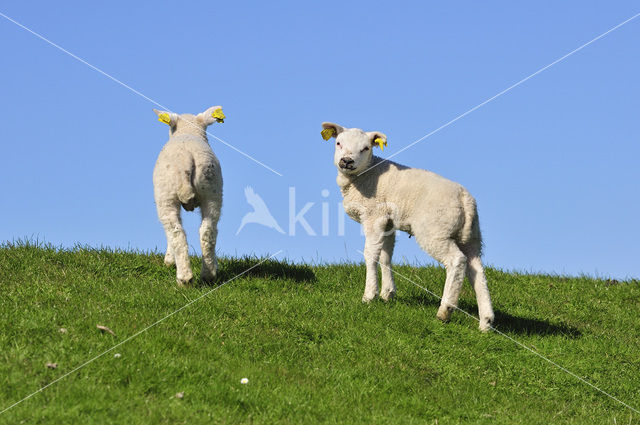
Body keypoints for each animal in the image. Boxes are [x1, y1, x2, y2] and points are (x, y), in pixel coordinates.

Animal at [152, 106, 225, 284]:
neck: (188, 131)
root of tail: (187, 159)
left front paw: (169, 260)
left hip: (166, 196)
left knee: (176, 232)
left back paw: (184, 278)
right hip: (212, 190)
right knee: (208, 231)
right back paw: (209, 274)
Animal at [320, 121, 496, 330]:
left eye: (366, 148)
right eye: (338, 143)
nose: (347, 161)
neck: (366, 174)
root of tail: (465, 199)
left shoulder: (374, 216)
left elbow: (371, 255)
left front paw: (369, 295)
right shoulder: (388, 222)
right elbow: (386, 256)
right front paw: (387, 293)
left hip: (435, 231)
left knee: (457, 261)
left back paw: (445, 310)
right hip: (472, 236)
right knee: (477, 270)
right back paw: (486, 321)